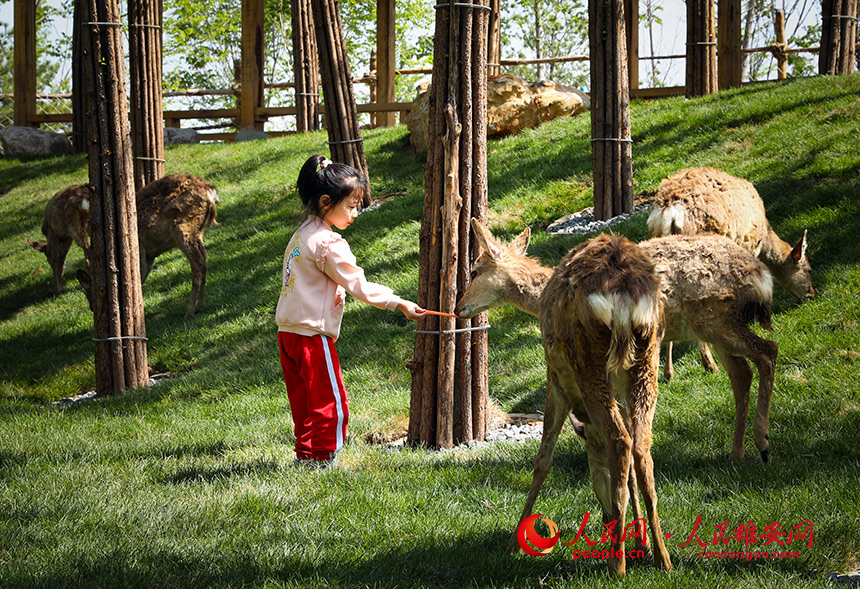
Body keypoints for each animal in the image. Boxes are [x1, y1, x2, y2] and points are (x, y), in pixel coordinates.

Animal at [30, 172, 220, 316]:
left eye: (90, 292)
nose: (92, 309)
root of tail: (210, 192)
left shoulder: (140, 250)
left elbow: (138, 279)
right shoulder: (148, 252)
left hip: (183, 228)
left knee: (198, 264)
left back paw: (189, 310)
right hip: (198, 231)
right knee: (204, 262)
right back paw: (201, 305)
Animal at [456, 219, 672, 576]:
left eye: (474, 270)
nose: (459, 308)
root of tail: (625, 291)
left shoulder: (555, 376)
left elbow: (543, 460)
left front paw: (513, 543)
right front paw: (638, 539)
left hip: (586, 359)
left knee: (620, 439)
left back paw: (617, 563)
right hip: (646, 358)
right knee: (641, 444)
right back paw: (661, 557)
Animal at [460, 220, 784, 464]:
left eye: (474, 271)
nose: (459, 306)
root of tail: (763, 279)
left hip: (716, 318)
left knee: (768, 351)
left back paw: (764, 444)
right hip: (715, 329)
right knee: (742, 374)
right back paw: (736, 453)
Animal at [648, 164, 808, 382]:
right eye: (807, 268)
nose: (812, 293)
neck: (765, 236)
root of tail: (667, 214)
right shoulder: (748, 243)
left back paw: (669, 372)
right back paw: (710, 364)